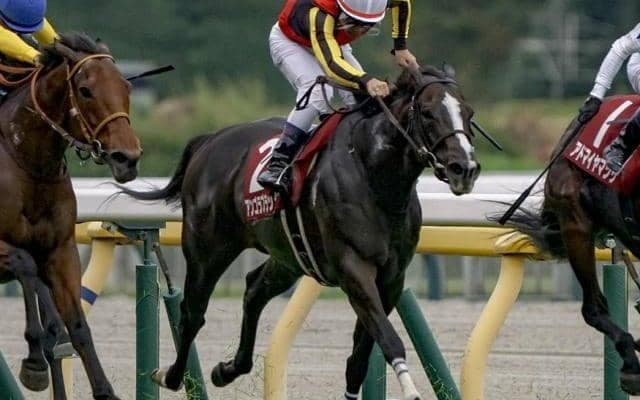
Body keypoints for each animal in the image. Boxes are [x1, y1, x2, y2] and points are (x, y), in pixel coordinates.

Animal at [0, 32, 141, 399]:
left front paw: (105, 391)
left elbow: (78, 326)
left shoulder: (62, 252)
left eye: (126, 86)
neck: (30, 164)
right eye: (86, 90)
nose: (127, 158)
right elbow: (26, 265)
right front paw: (35, 360)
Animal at [120, 65, 480, 399]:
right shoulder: (353, 269)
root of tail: (211, 139)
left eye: (469, 112)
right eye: (428, 112)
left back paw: (228, 369)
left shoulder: (392, 278)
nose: (465, 169)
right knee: (193, 312)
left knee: (254, 290)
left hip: (289, 256)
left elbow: (360, 357)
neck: (375, 177)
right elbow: (389, 339)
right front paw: (411, 389)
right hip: (206, 248)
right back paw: (170, 375)